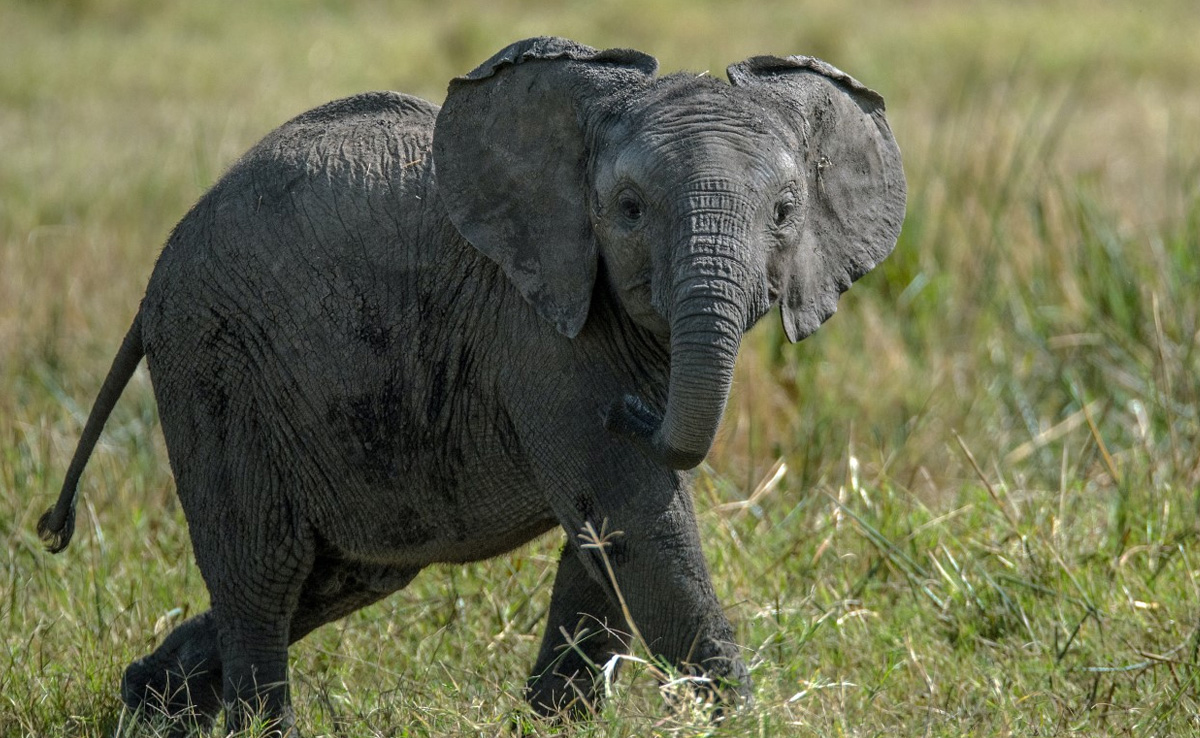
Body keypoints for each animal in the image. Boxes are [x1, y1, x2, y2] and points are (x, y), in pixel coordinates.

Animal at [37, 36, 905, 734]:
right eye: (627, 210)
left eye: (785, 213)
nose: (634, 409)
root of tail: (159, 269)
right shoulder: (542, 331)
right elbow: (634, 514)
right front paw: (748, 723)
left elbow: (605, 538)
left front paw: (550, 725)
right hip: (214, 361)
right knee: (262, 570)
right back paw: (251, 724)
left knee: (339, 572)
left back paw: (149, 705)